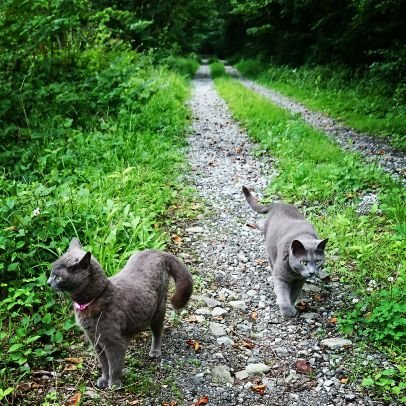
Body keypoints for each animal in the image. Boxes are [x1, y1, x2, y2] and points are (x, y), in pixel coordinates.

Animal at [47, 239, 193, 388]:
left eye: (58, 278)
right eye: (51, 273)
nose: (48, 282)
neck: (94, 299)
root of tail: (156, 251)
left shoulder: (115, 343)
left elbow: (114, 365)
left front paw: (115, 384)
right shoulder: (95, 341)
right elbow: (104, 363)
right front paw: (104, 380)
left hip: (159, 308)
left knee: (158, 331)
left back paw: (155, 351)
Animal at [243, 186, 328, 318]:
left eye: (318, 261)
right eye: (303, 262)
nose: (312, 272)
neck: (294, 274)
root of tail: (278, 204)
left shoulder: (300, 281)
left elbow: (293, 294)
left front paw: (292, 307)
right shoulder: (281, 277)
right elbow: (283, 295)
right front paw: (287, 312)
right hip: (269, 250)